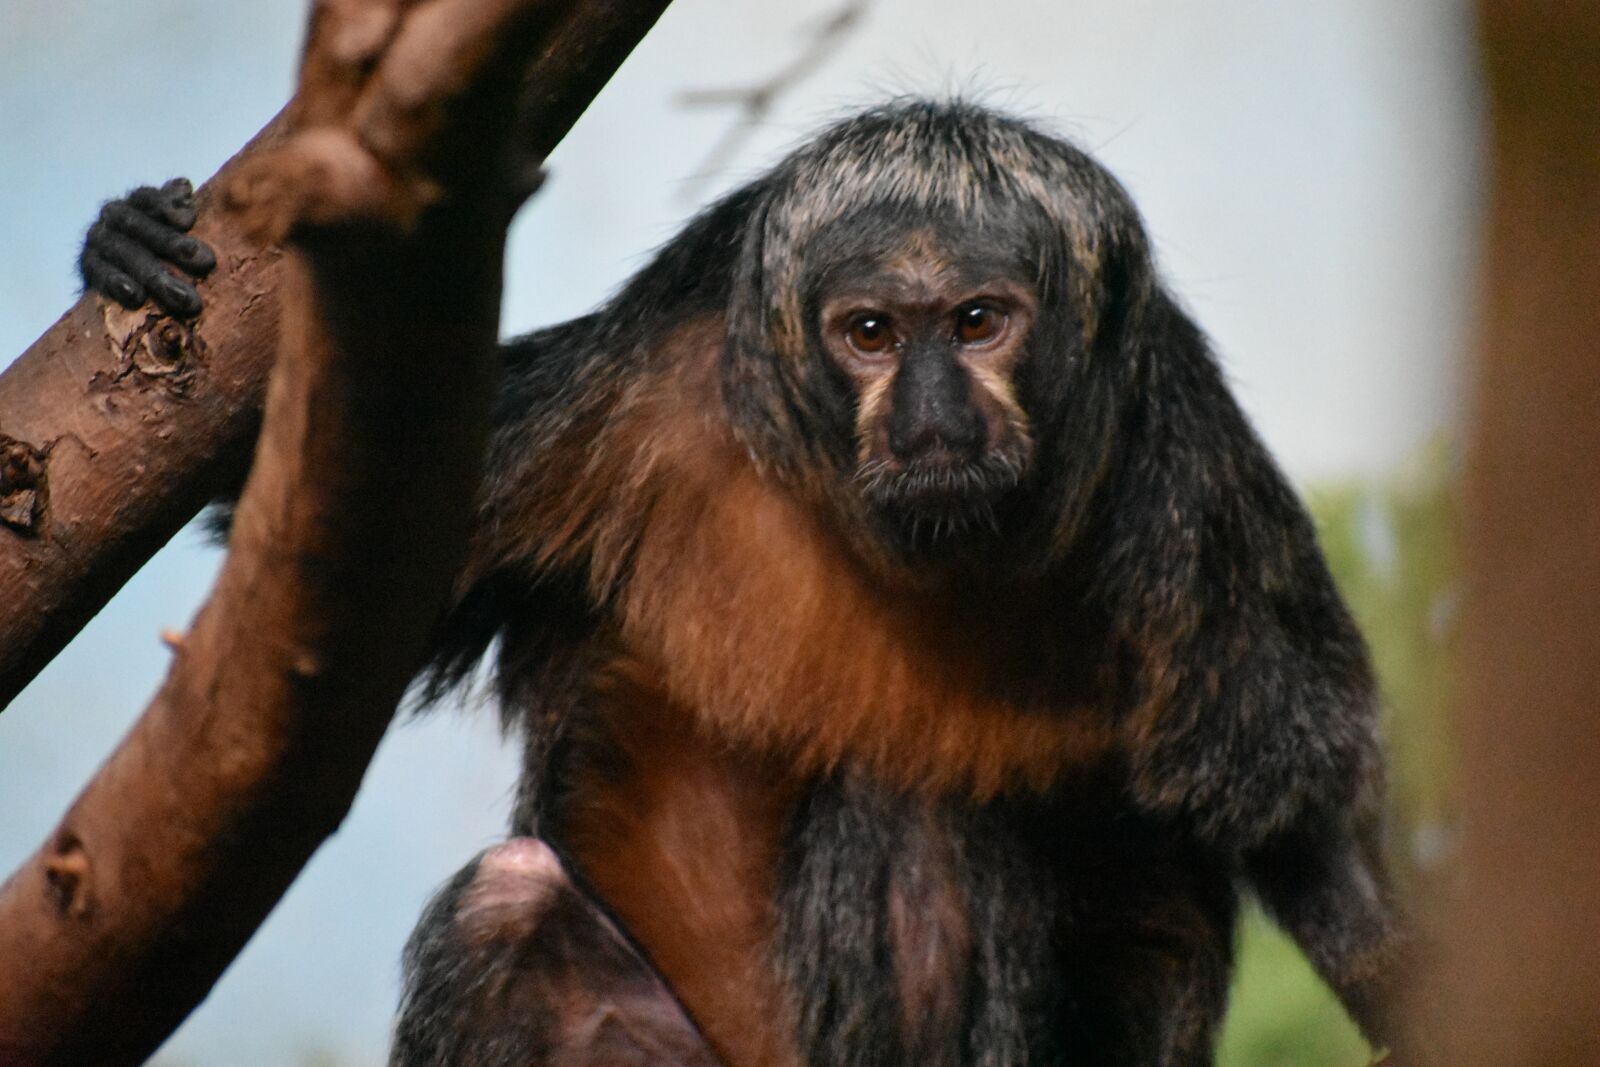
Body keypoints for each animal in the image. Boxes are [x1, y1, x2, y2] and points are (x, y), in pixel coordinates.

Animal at [83, 99, 1414, 1066]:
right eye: (871, 333)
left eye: (977, 322)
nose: (934, 416)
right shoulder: (624, 395)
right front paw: (131, 246)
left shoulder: (1181, 485)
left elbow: (1308, 819)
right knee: (509, 909)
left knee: (923, 804)